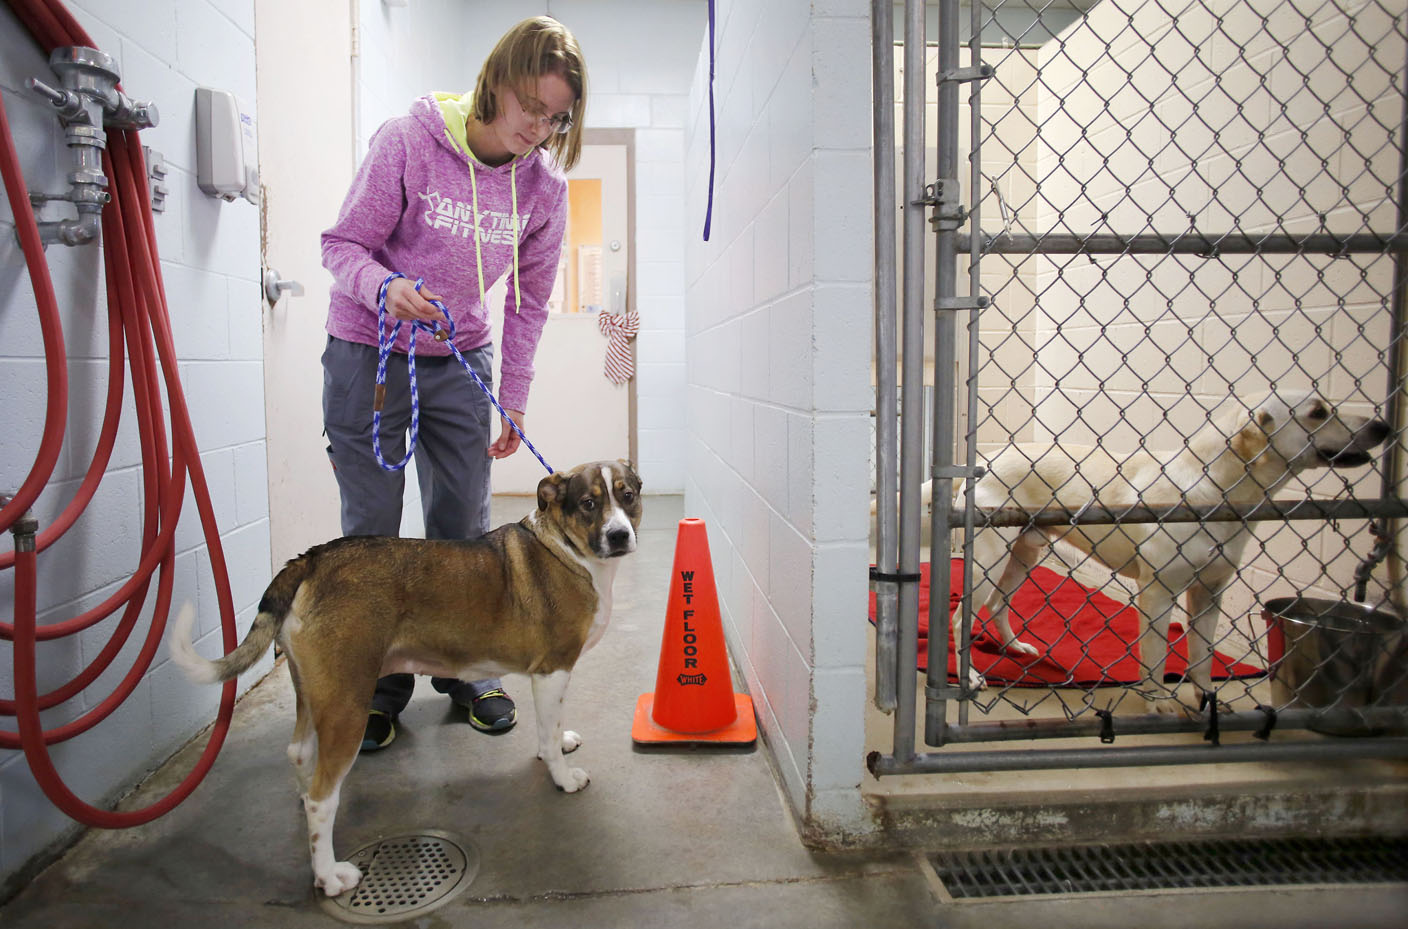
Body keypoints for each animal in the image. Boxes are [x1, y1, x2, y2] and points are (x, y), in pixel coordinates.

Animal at [168, 461, 644, 895]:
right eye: (589, 504)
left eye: (627, 496)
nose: (620, 535)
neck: (566, 547)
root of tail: (311, 560)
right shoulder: (553, 670)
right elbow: (548, 733)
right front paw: (562, 775)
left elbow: (551, 727)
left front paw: (559, 745)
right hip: (347, 705)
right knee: (324, 798)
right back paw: (329, 875)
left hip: (313, 691)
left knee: (299, 756)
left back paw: (303, 806)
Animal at [963, 391, 1391, 712]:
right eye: (1318, 412)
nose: (1383, 426)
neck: (1213, 488)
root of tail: (985, 460)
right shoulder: (1157, 593)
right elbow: (1155, 658)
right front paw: (1159, 702)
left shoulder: (1209, 593)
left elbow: (1201, 656)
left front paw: (1208, 699)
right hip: (988, 564)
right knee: (959, 621)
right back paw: (969, 676)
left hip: (1021, 558)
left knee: (998, 606)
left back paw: (1014, 647)